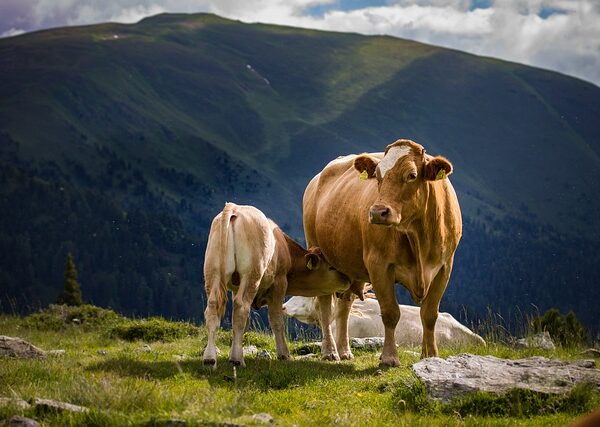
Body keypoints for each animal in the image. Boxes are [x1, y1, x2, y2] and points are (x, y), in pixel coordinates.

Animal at [304, 140, 464, 368]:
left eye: (412, 175)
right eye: (378, 176)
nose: (378, 212)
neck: (418, 237)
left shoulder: (445, 267)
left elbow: (430, 313)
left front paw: (430, 355)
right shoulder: (378, 265)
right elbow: (390, 312)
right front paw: (389, 357)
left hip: (350, 267)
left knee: (345, 305)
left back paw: (344, 350)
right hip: (318, 253)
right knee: (325, 305)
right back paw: (330, 352)